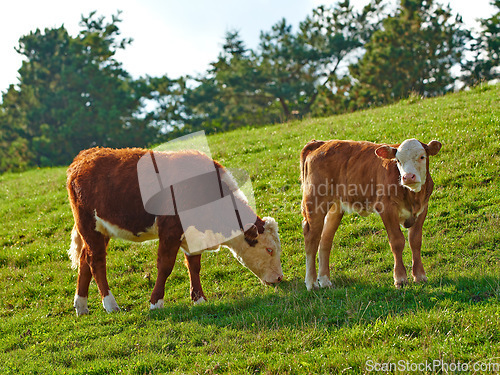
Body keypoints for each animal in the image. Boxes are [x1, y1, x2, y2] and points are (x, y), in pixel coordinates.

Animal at [68, 148, 284, 316]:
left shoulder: (193, 236)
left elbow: (194, 266)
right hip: (89, 226)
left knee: (85, 259)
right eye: (269, 250)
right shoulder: (170, 232)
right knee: (96, 261)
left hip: (100, 231)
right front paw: (156, 303)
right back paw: (110, 304)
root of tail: (84, 156)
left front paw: (199, 299)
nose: (280, 278)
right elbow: (165, 266)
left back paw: (81, 306)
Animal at [300, 139, 442, 290]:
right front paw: (400, 278)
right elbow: (397, 241)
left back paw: (325, 280)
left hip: (335, 207)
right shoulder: (386, 209)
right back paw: (311, 283)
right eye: (398, 160)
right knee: (311, 239)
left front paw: (420, 276)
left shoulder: (422, 209)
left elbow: (415, 241)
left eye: (422, 157)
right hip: (315, 203)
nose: (408, 177)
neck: (411, 195)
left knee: (325, 240)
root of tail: (322, 143)